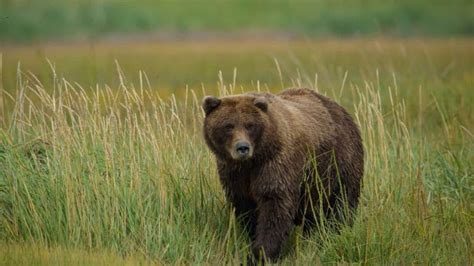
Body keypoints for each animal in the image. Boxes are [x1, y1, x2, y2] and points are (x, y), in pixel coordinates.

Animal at [203, 88, 362, 262]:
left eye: (250, 125)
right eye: (228, 126)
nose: (242, 147)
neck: (252, 161)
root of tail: (342, 111)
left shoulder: (276, 164)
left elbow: (275, 206)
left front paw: (261, 254)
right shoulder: (235, 174)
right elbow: (245, 207)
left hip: (339, 162)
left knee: (342, 203)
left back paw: (336, 234)